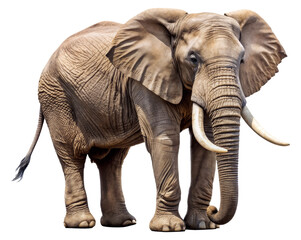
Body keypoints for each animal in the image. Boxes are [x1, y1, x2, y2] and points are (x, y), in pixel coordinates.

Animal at [12, 8, 288, 232]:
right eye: (193, 59)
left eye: (242, 60)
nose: (214, 211)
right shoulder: (143, 79)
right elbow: (164, 138)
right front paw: (169, 228)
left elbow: (205, 142)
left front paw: (202, 226)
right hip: (55, 97)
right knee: (72, 155)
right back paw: (82, 224)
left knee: (113, 161)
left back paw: (122, 223)